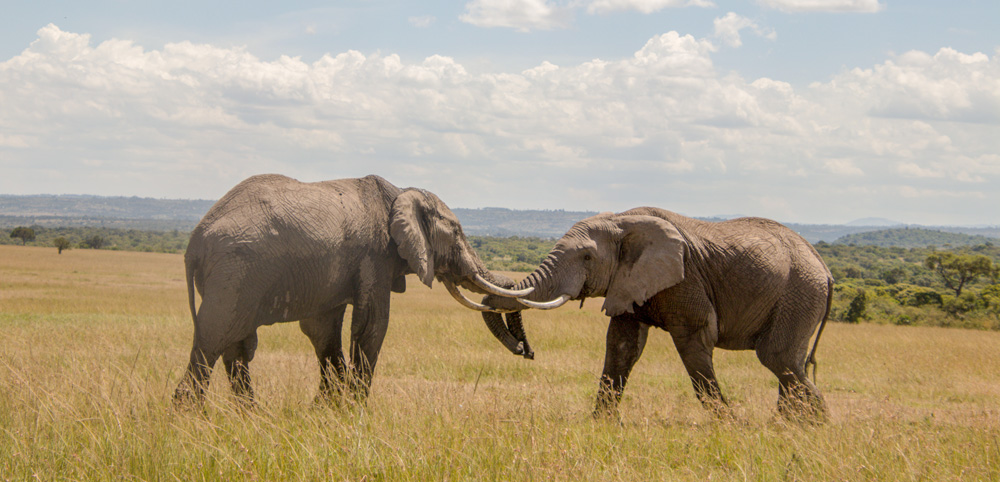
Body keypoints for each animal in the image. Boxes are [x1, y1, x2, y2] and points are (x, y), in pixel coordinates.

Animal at [174, 174, 533, 406]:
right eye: (457, 232)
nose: (526, 352)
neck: (400, 192)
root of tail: (194, 244)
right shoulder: (375, 255)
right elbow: (372, 325)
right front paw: (354, 412)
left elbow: (322, 331)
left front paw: (325, 412)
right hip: (234, 274)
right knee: (213, 340)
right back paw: (188, 415)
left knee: (235, 348)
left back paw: (250, 416)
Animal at [480, 207, 833, 419]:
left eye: (587, 257)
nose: (527, 351)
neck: (623, 220)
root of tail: (824, 268)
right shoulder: (627, 282)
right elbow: (621, 347)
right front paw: (600, 427)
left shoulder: (686, 280)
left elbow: (695, 343)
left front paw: (731, 428)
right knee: (788, 365)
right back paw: (790, 428)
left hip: (799, 293)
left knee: (778, 358)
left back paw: (811, 427)